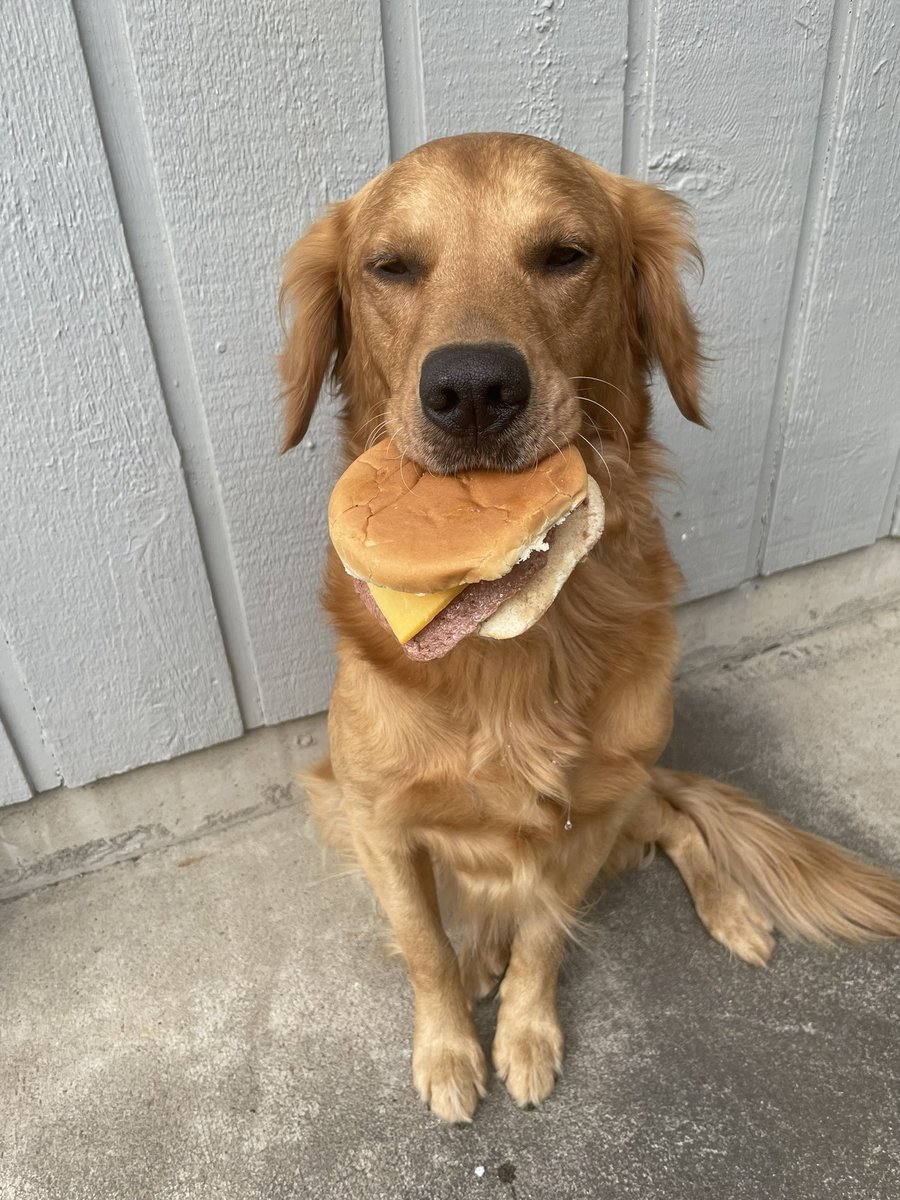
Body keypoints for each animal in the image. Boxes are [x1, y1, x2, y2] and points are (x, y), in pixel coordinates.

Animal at [278, 133, 900, 1123]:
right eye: (391, 267)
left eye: (566, 255)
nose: (473, 387)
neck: (511, 645)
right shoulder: (377, 819)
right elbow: (426, 948)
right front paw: (450, 1049)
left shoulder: (594, 813)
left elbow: (546, 934)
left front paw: (526, 1037)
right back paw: (482, 950)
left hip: (637, 787)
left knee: (680, 824)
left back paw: (731, 914)